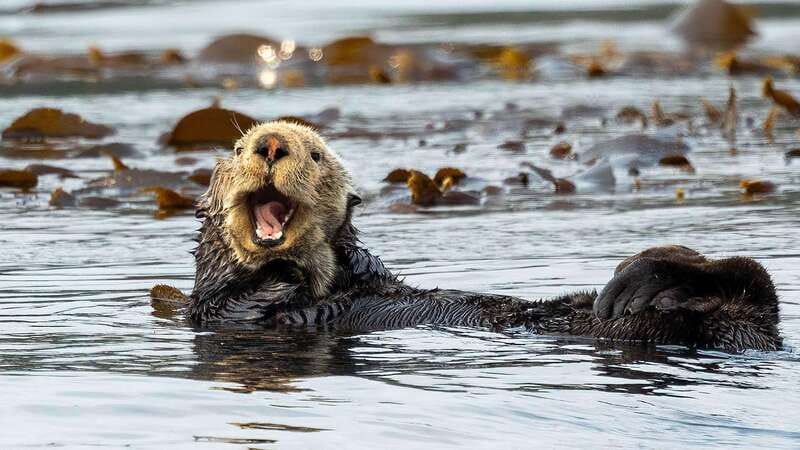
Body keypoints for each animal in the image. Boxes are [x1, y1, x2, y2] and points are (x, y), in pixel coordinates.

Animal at [151, 121, 783, 352]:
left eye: (315, 154)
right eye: (238, 147)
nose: (271, 144)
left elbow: (362, 263)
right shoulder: (215, 310)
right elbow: (235, 298)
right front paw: (284, 269)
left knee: (752, 279)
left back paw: (642, 279)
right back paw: (648, 290)